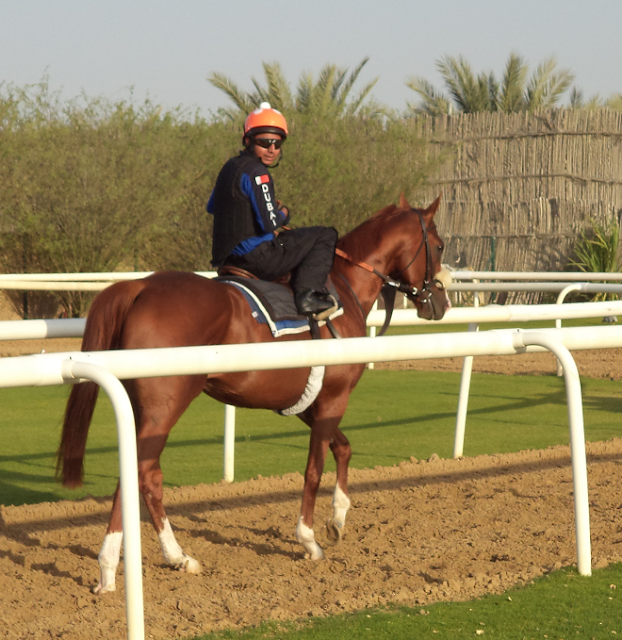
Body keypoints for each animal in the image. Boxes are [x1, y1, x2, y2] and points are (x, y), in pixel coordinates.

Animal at [56, 194, 451, 593]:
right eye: (439, 245)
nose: (441, 302)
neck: (343, 288)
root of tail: (138, 287)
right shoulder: (333, 398)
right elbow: (314, 468)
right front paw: (309, 540)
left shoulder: (307, 403)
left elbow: (343, 448)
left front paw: (337, 519)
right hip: (164, 407)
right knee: (141, 474)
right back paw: (138, 562)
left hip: (144, 408)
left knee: (139, 475)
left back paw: (144, 562)